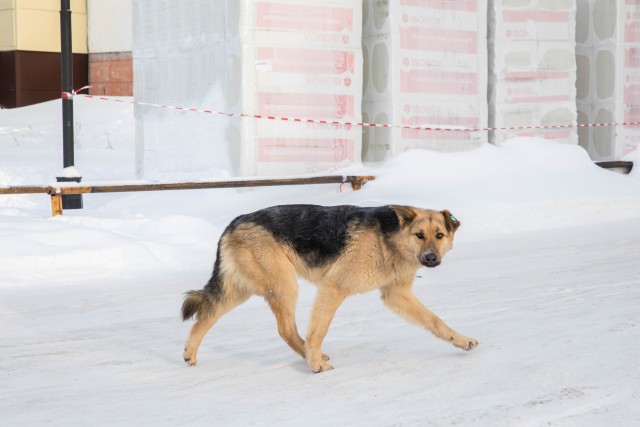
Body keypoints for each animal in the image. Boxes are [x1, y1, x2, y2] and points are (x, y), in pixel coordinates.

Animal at [182, 204, 478, 372]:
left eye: (439, 236)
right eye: (419, 235)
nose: (430, 258)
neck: (391, 239)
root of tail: (235, 221)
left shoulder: (397, 295)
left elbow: (435, 321)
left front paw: (461, 340)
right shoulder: (334, 288)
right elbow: (318, 331)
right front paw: (315, 365)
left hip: (241, 291)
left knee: (205, 316)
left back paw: (190, 354)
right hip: (284, 285)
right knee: (286, 330)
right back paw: (312, 359)